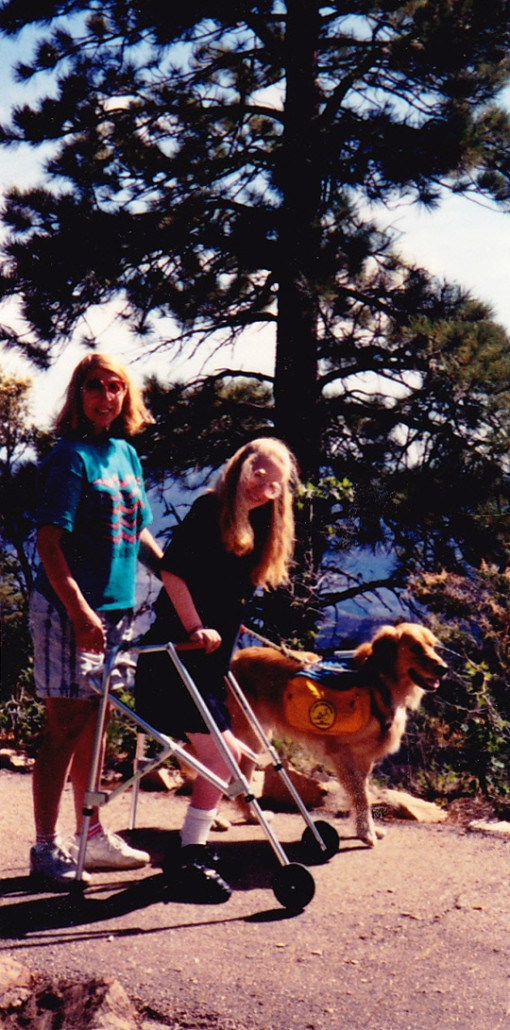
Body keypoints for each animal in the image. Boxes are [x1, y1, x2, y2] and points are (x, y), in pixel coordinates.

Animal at [230, 618, 447, 844]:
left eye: (432, 646)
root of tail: (234, 657)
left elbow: (364, 794)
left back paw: (251, 815)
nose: (444, 668)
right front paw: (366, 833)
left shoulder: (364, 757)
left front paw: (367, 829)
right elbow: (361, 796)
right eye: (415, 648)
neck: (378, 684)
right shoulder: (343, 753)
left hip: (254, 736)